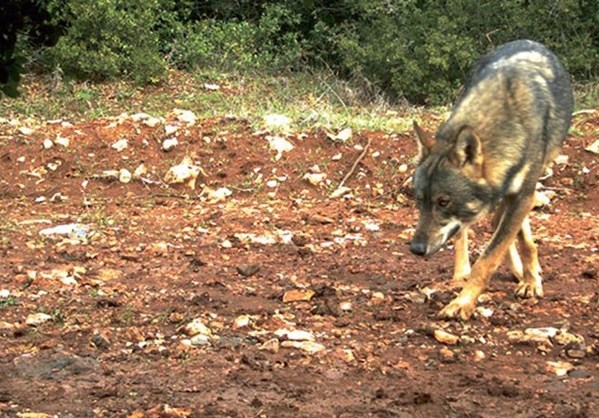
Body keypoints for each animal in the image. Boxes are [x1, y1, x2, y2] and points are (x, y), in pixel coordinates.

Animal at [410, 40, 576, 320]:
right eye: (419, 201)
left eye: (443, 202)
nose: (416, 249)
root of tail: (525, 40)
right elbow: (496, 242)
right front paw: (465, 294)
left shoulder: (523, 194)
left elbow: (493, 254)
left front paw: (466, 301)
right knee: (468, 232)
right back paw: (463, 271)